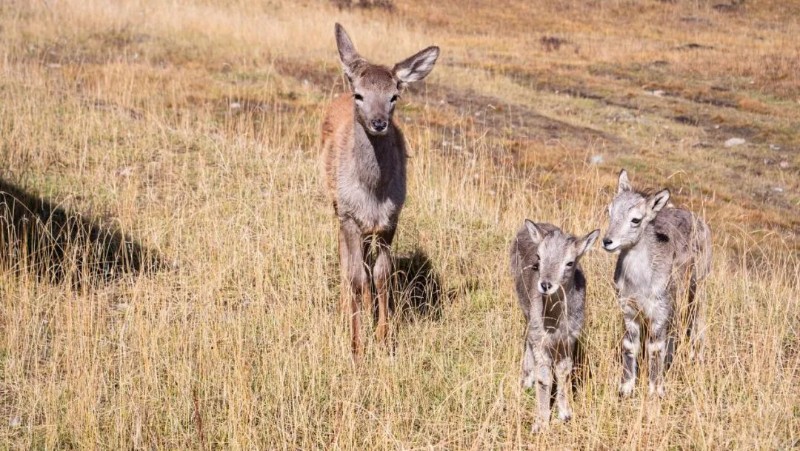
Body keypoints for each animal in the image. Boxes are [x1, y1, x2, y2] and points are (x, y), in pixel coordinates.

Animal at [320, 24, 440, 358]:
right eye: (360, 94)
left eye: (394, 96)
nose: (378, 123)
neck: (372, 193)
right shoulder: (349, 214)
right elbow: (356, 275)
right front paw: (356, 344)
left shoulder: (390, 219)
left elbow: (382, 275)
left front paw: (384, 338)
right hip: (337, 207)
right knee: (346, 260)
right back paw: (345, 308)